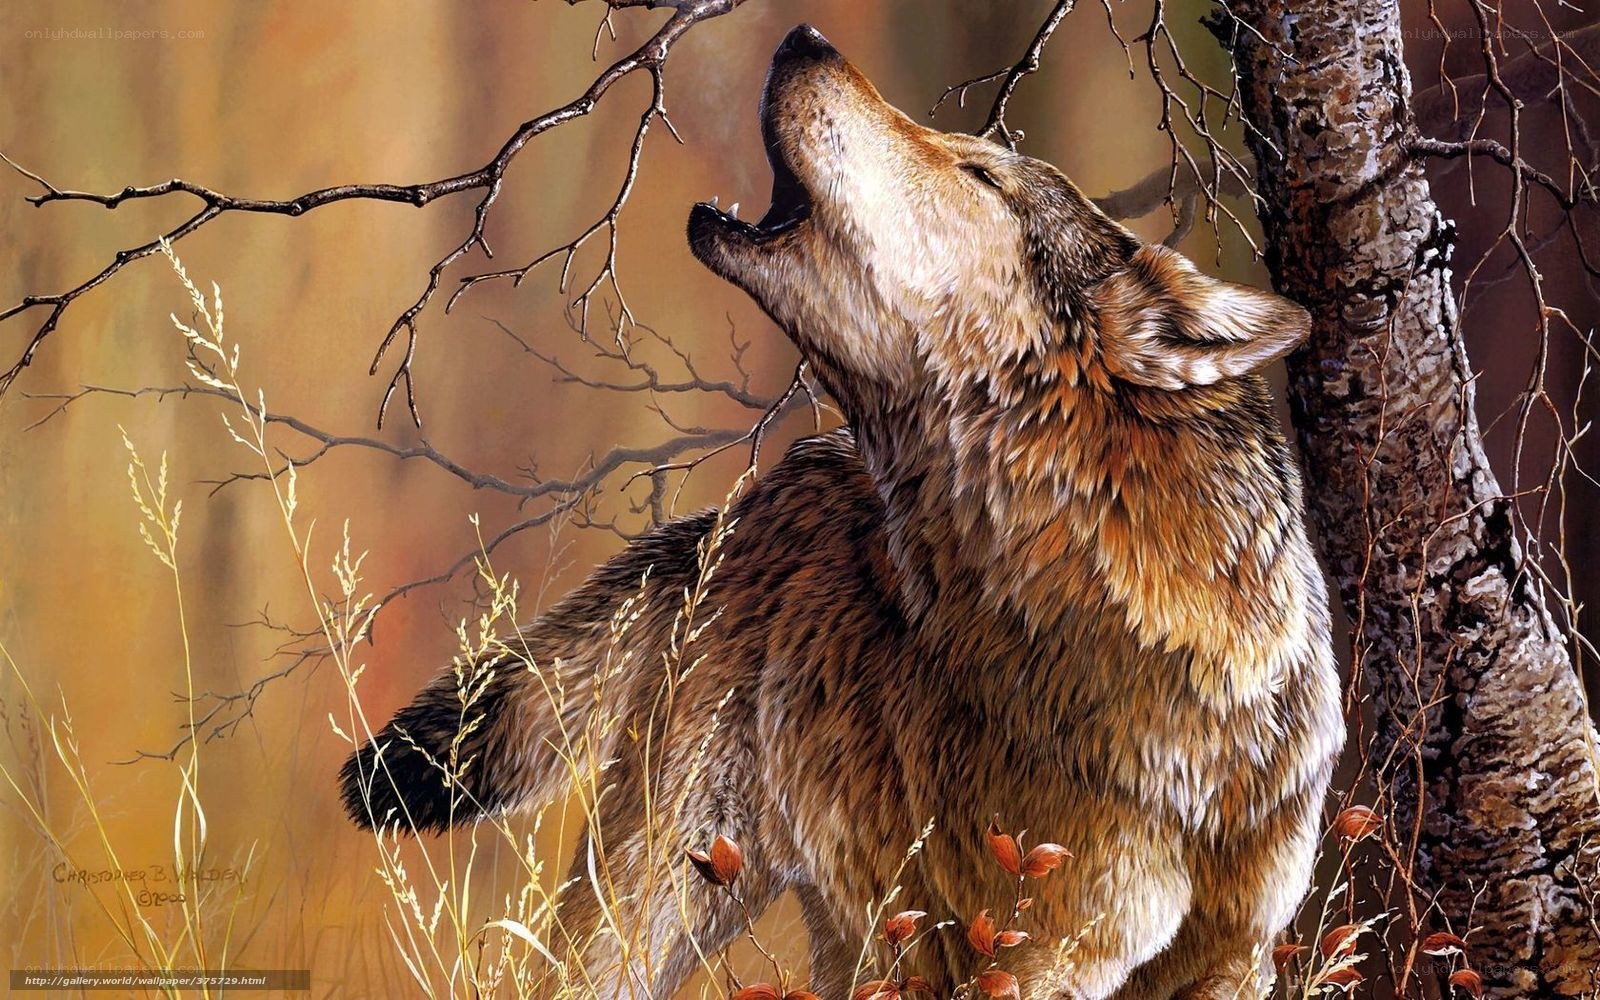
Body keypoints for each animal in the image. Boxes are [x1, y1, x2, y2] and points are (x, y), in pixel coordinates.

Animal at [340, 25, 1342, 1000]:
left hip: (854, 932)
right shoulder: (1021, 953)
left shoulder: (1233, 956)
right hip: (663, 897)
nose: (802, 35)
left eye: (981, 175)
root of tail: (761, 493)